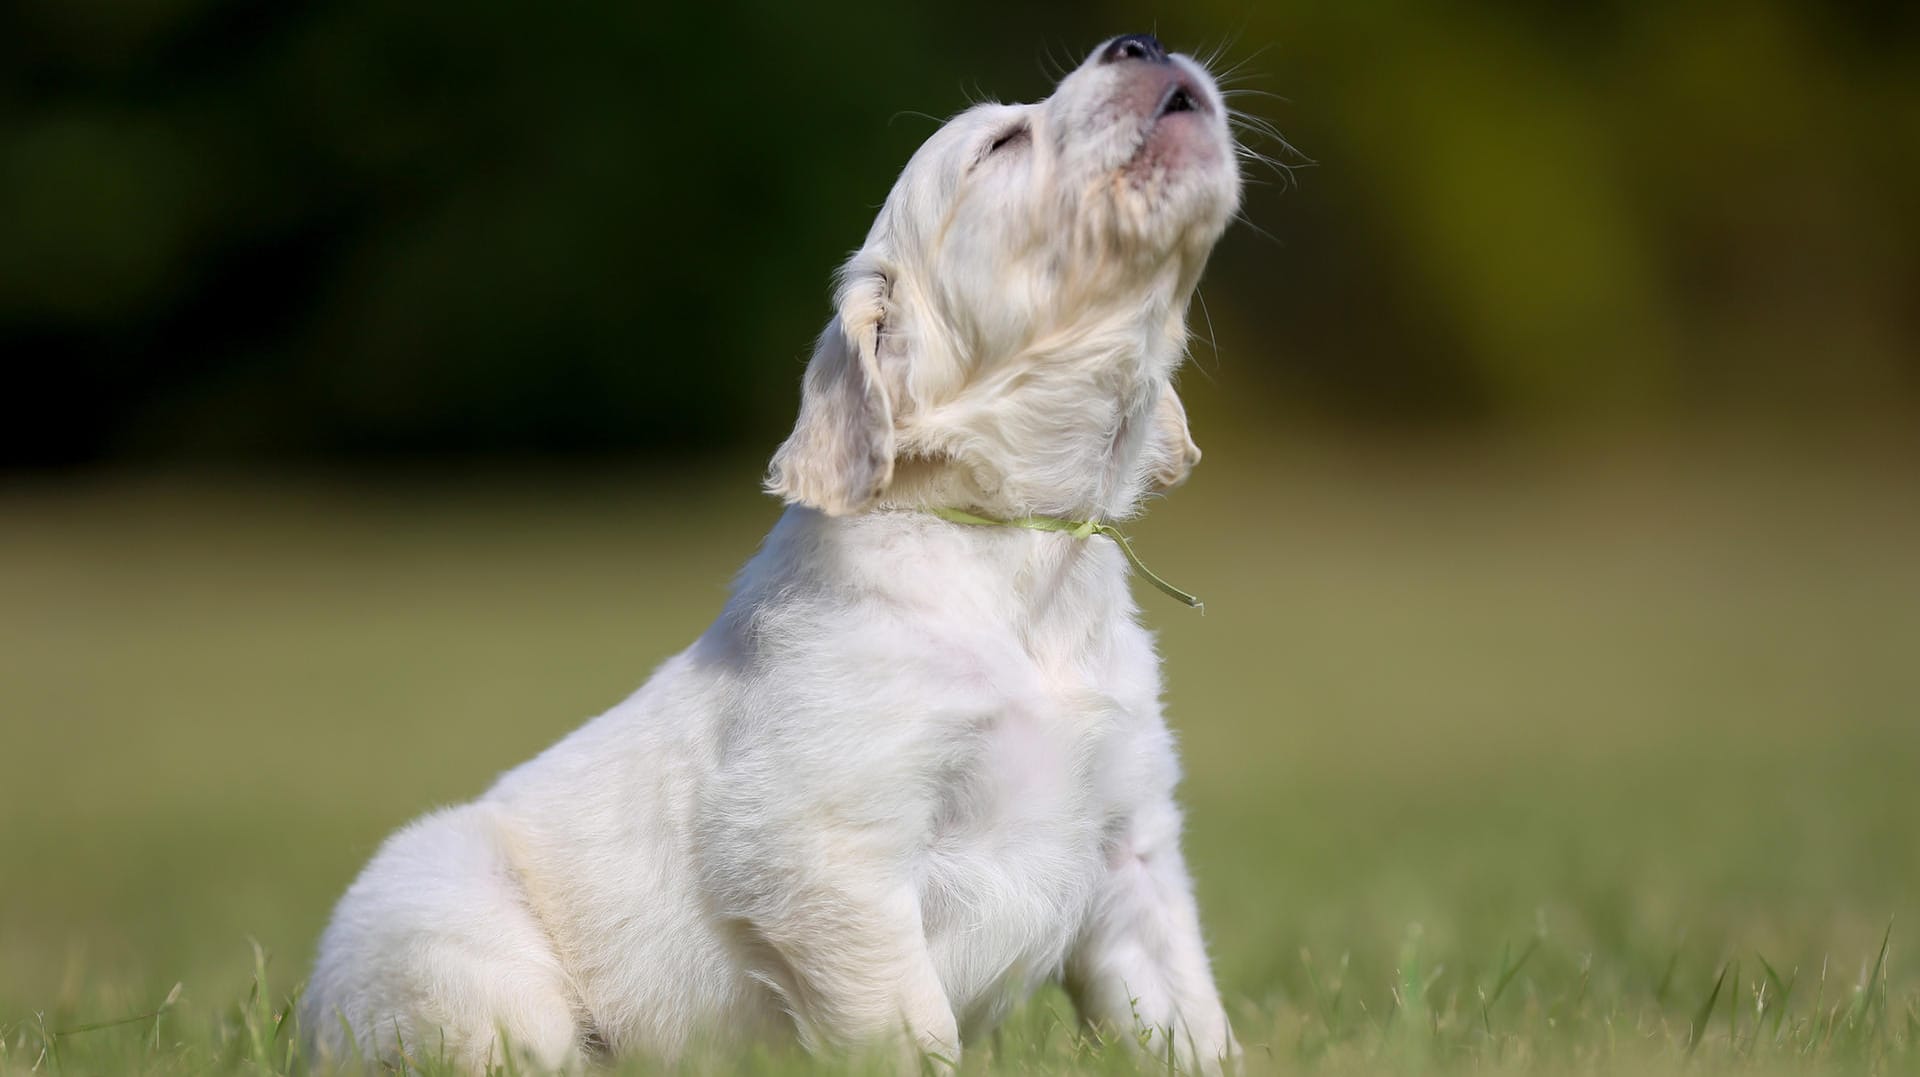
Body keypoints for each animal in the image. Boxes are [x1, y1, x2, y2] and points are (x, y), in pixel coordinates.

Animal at [307, 31, 1236, 1067]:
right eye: (998, 146)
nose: (1139, 43)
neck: (1018, 550)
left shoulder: (1133, 846)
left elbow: (1188, 1016)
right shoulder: (835, 858)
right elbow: (910, 1029)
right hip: (457, 954)